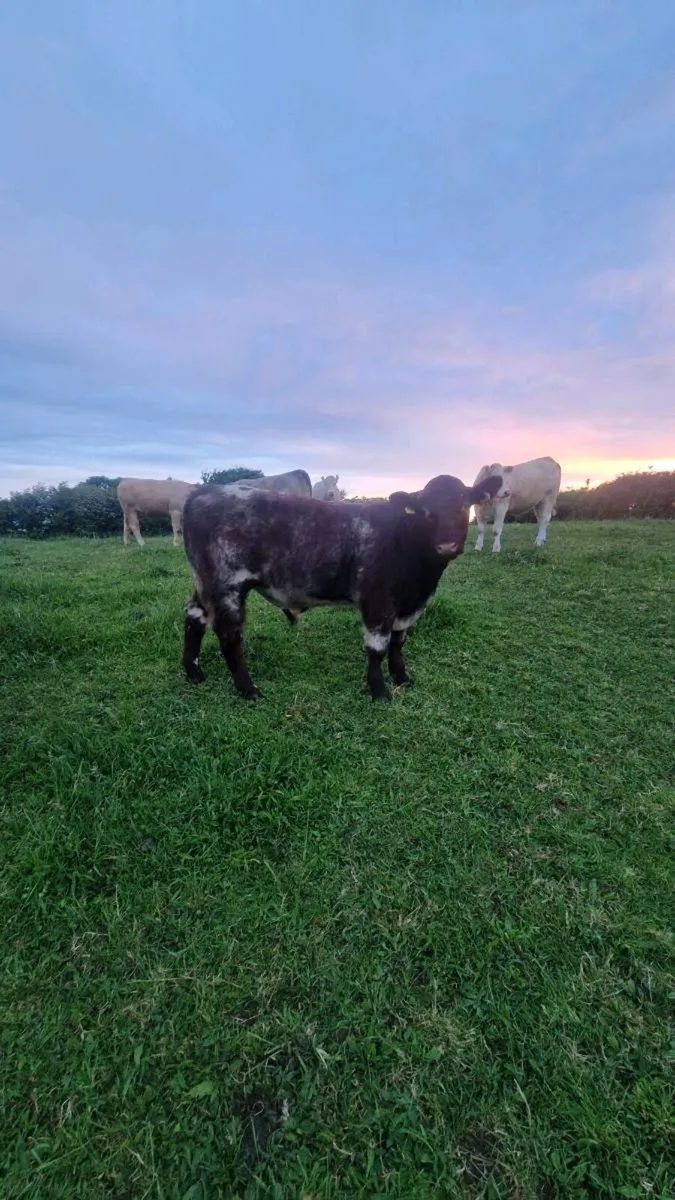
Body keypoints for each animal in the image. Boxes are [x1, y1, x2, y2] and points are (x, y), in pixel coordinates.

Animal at [180, 471, 502, 703]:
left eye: (464, 505)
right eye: (425, 510)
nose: (446, 545)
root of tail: (205, 492)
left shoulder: (407, 606)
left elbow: (398, 643)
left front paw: (402, 678)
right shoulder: (377, 602)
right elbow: (378, 647)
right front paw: (379, 691)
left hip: (204, 583)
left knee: (194, 617)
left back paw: (193, 671)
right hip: (226, 585)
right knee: (229, 635)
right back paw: (248, 689)